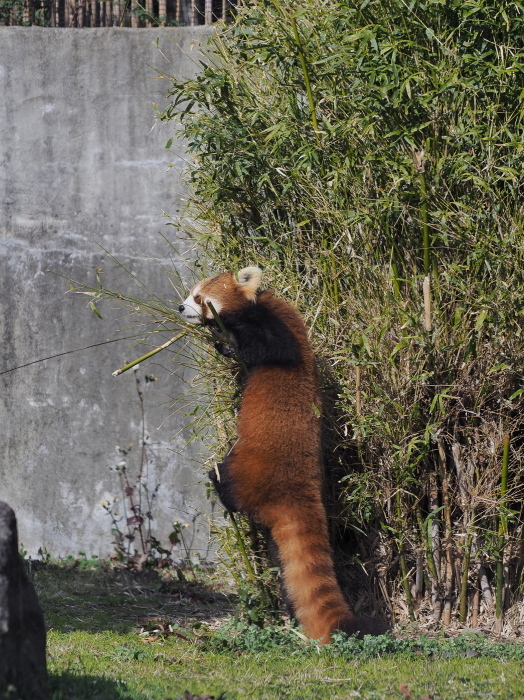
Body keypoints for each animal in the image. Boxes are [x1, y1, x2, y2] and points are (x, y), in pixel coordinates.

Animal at [180, 266, 380, 644]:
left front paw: (223, 336)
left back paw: (218, 482)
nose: (181, 307)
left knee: (229, 487)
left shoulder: (275, 331)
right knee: (284, 566)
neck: (260, 302)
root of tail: (297, 489)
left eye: (199, 297)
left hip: (247, 470)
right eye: (189, 294)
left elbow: (263, 348)